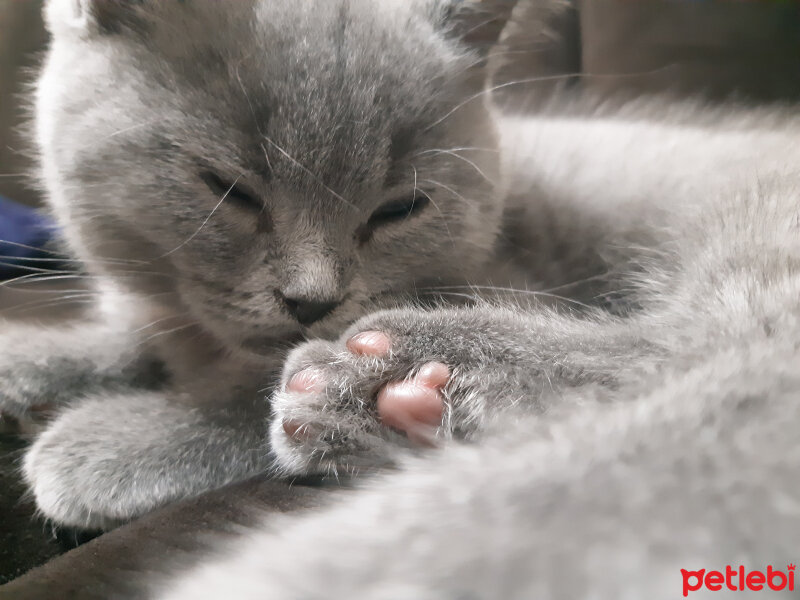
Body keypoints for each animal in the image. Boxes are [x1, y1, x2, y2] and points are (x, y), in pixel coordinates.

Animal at [4, 1, 800, 596]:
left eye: (399, 209)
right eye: (229, 189)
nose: (310, 300)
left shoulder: (515, 274)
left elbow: (238, 391)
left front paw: (119, 439)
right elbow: (122, 338)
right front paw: (29, 359)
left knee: (698, 346)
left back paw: (388, 382)